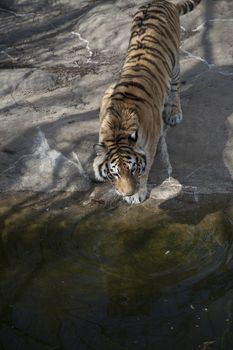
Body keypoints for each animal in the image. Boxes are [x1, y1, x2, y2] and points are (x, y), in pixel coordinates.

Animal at [93, 0, 202, 204]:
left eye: (132, 169)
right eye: (115, 173)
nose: (127, 193)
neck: (118, 128)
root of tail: (161, 1)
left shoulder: (150, 142)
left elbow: (146, 168)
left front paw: (137, 195)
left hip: (174, 65)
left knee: (175, 88)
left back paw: (174, 113)